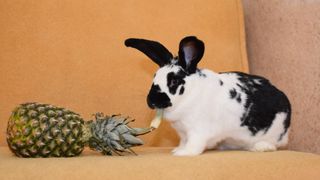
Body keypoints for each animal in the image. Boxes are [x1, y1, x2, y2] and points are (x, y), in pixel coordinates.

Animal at [124, 35, 290, 155]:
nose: (152, 101)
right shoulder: (183, 133)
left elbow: (194, 144)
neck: (190, 94)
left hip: (272, 133)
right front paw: (178, 149)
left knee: (273, 144)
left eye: (174, 81)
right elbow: (183, 141)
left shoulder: (198, 131)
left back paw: (260, 147)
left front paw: (183, 153)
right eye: (154, 76)